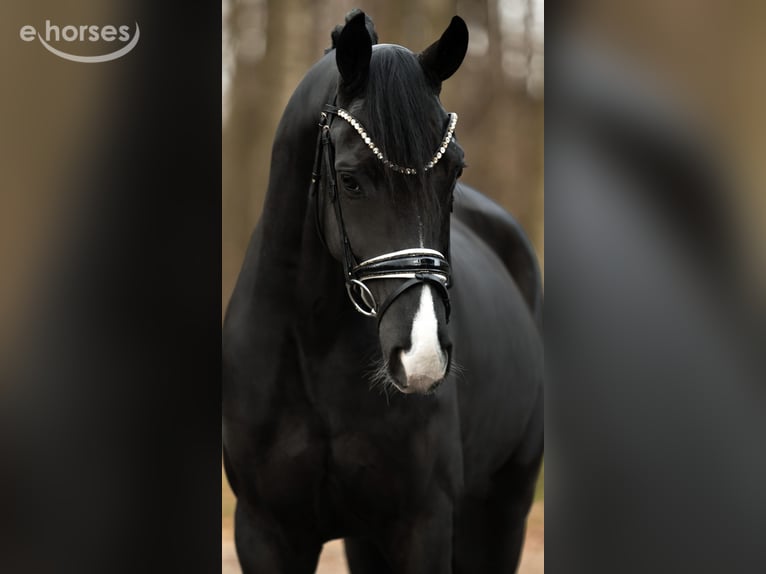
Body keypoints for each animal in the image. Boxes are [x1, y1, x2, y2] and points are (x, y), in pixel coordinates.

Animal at [222, 11, 543, 573]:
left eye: (455, 169)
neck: (313, 345)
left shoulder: (422, 524)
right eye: (350, 179)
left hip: (504, 508)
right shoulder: (265, 530)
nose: (422, 356)